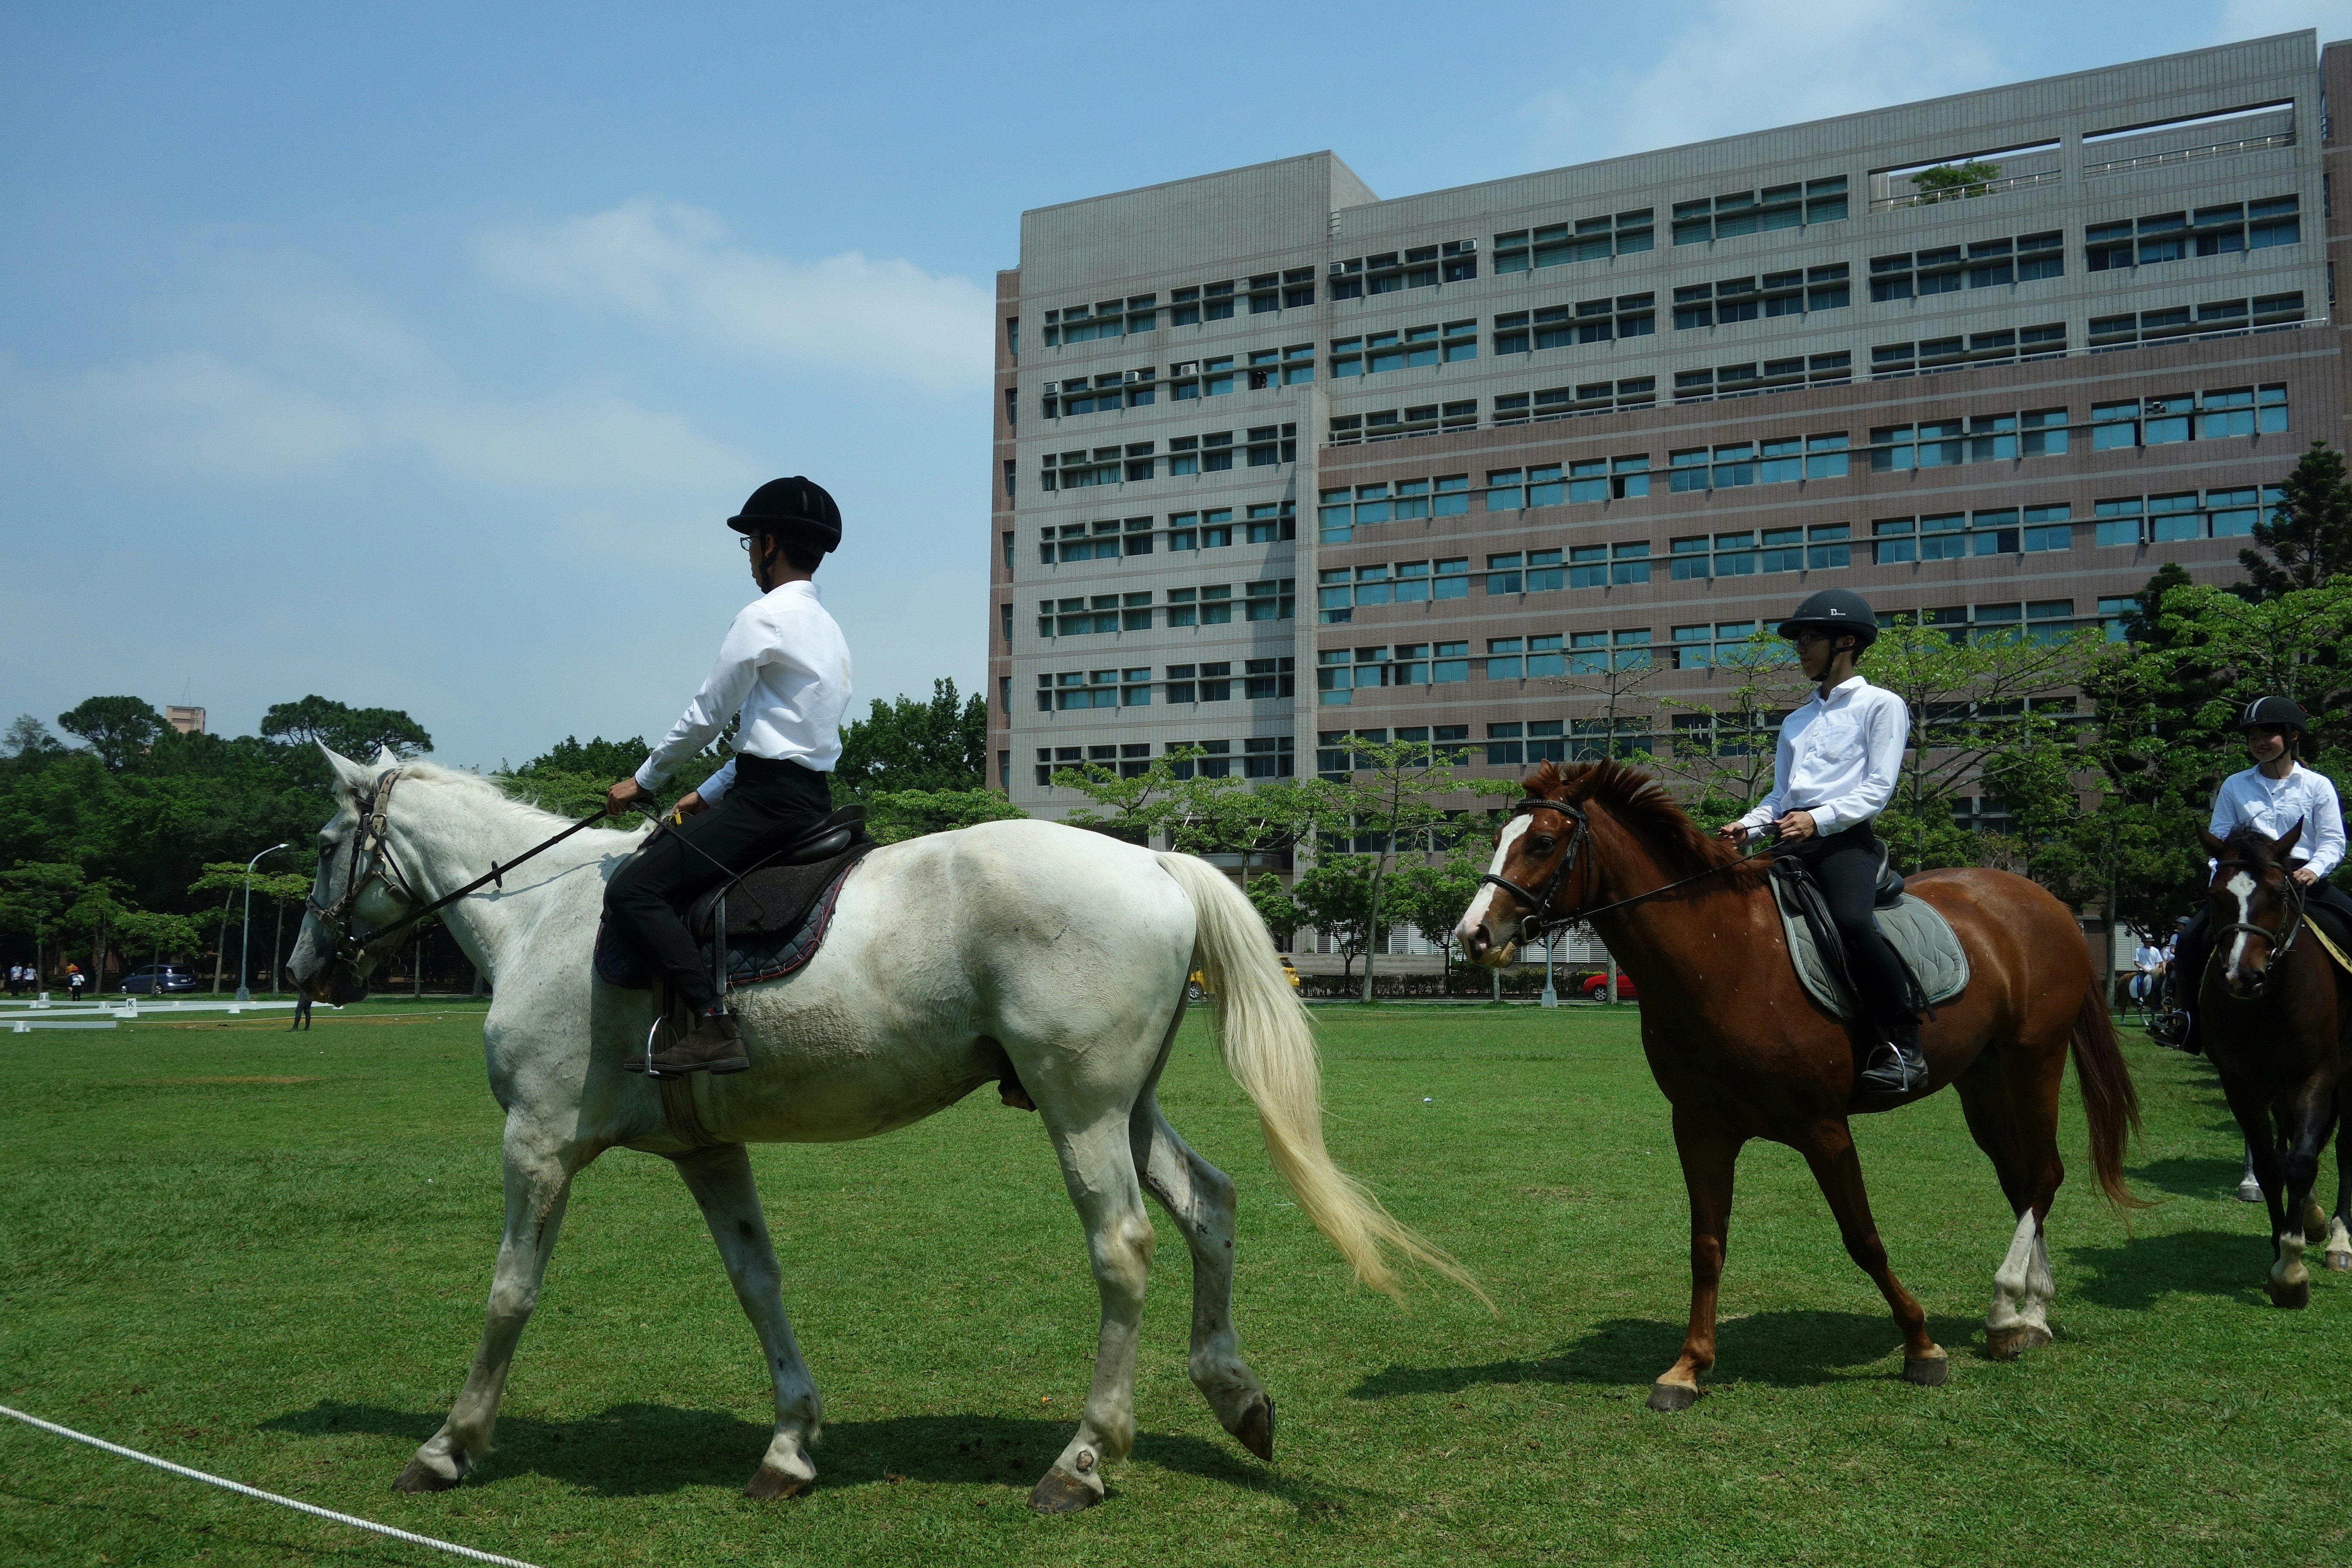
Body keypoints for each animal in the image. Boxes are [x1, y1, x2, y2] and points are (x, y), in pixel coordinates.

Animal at [285, 750, 1472, 1512]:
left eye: (329, 842)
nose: (303, 966)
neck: (543, 914)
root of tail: (1154, 861)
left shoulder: (535, 1144)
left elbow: (508, 1295)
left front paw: (447, 1448)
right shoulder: (708, 1152)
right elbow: (757, 1285)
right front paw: (789, 1447)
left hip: (1079, 1107)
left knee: (1124, 1246)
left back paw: (1082, 1460)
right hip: (1123, 1106)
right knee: (1208, 1204)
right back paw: (1235, 1396)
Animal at [1454, 761, 2142, 1410]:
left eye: (1543, 842)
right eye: (1500, 838)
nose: (1473, 936)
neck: (1725, 956)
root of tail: (2043, 901)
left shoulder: (1823, 1129)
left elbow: (1863, 1238)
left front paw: (1921, 1346)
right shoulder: (1700, 1130)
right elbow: (1707, 1246)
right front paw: (1688, 1368)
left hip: (2034, 1060)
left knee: (2045, 1176)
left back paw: (2007, 1308)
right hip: (1983, 1080)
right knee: (2022, 1182)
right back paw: (2030, 1318)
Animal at [2193, 821, 2352, 1304]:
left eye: (2279, 894)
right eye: (2215, 896)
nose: (2243, 977)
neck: (2271, 1003)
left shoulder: (2318, 1075)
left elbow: (2300, 1162)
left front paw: (2291, 1270)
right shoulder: (2240, 1083)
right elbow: (2269, 1164)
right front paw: (2282, 1245)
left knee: (2341, 1148)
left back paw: (2339, 1240)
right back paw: (2313, 1216)